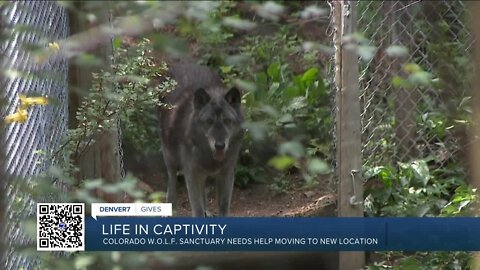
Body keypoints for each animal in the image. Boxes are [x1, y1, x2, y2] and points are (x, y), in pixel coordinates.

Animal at [159, 61, 244, 217]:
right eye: (209, 121)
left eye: (227, 121)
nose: (220, 145)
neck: (210, 158)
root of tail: (184, 63)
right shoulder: (191, 174)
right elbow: (197, 208)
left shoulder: (227, 173)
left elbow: (223, 207)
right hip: (170, 161)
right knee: (172, 185)